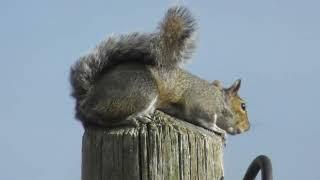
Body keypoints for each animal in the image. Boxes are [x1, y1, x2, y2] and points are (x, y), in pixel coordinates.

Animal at [69, 5, 250, 135]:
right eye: (243, 106)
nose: (246, 128)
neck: (219, 98)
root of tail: (88, 96)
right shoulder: (200, 103)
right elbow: (205, 120)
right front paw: (219, 130)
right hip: (142, 90)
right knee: (102, 117)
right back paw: (133, 118)